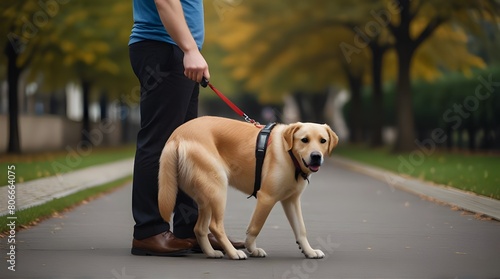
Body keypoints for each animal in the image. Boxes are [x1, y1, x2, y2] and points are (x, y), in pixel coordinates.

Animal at [159, 116, 340, 260]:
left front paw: (309, 251)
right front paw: (252, 248)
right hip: (218, 187)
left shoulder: (292, 200)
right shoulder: (266, 197)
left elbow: (301, 229)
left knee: (199, 228)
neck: (289, 155)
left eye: (323, 141)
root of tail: (177, 134)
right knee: (215, 226)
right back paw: (233, 253)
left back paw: (211, 252)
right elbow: (255, 228)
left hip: (206, 196)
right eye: (304, 140)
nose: (316, 156)